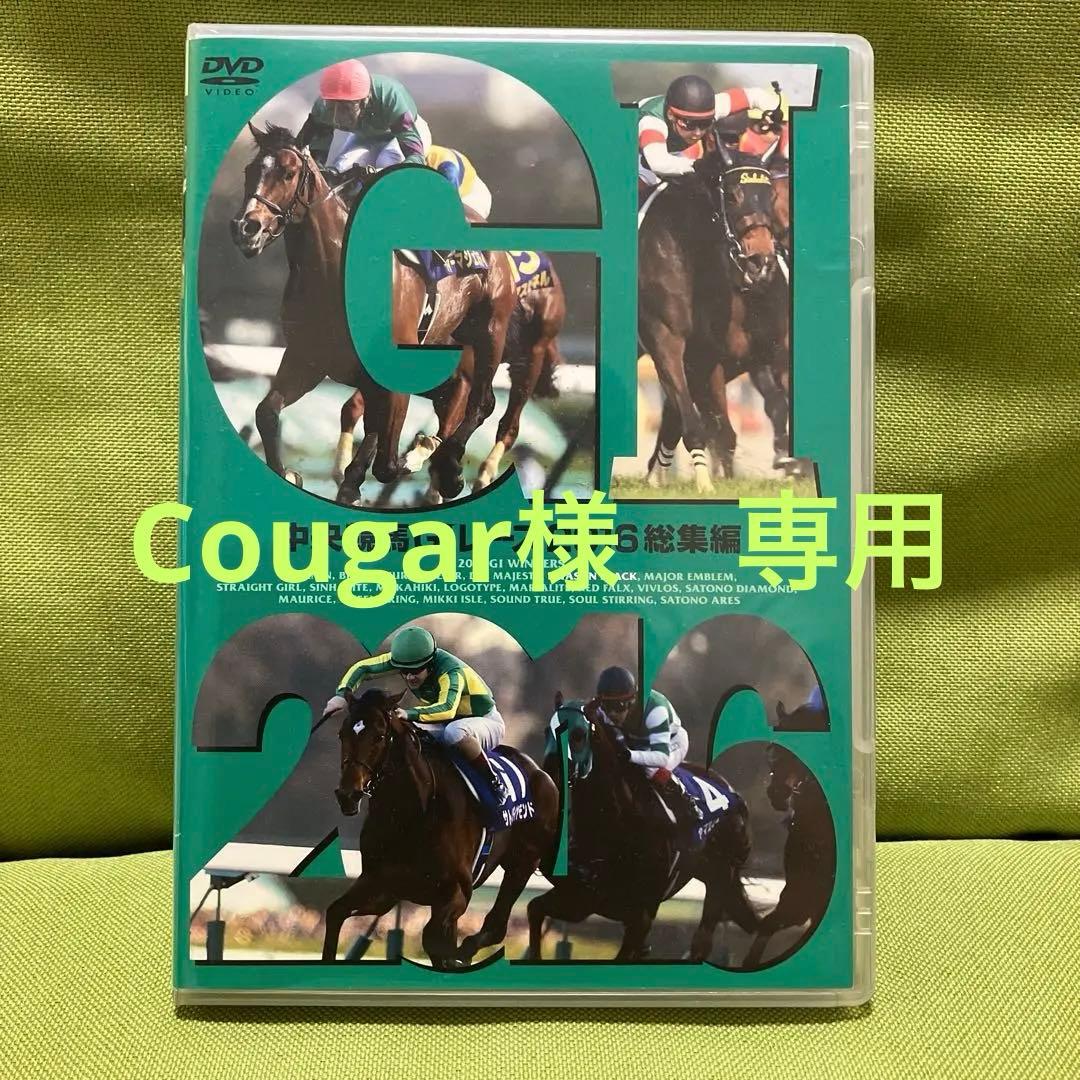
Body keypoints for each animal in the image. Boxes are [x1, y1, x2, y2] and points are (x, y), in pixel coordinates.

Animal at [229, 123, 517, 502]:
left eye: (288, 173)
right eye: (250, 171)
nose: (246, 228)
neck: (334, 275)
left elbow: (387, 463)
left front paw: (421, 458)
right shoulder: (307, 358)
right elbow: (267, 412)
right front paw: (293, 474)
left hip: (489, 332)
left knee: (481, 402)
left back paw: (445, 467)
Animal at [324, 687, 559, 969]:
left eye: (379, 736)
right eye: (342, 734)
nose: (348, 794)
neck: (413, 814)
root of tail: (540, 772)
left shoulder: (455, 893)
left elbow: (433, 939)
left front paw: (454, 958)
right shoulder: (382, 886)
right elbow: (335, 912)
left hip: (523, 862)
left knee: (496, 924)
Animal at [526, 697, 757, 963]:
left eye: (578, 735)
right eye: (547, 731)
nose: (550, 773)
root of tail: (731, 791)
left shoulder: (641, 914)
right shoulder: (582, 898)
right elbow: (534, 909)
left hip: (720, 875)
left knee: (704, 941)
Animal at [638, 134, 789, 491]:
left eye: (771, 195)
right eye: (732, 195)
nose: (761, 262)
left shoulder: (712, 353)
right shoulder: (665, 339)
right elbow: (697, 422)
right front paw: (705, 483)